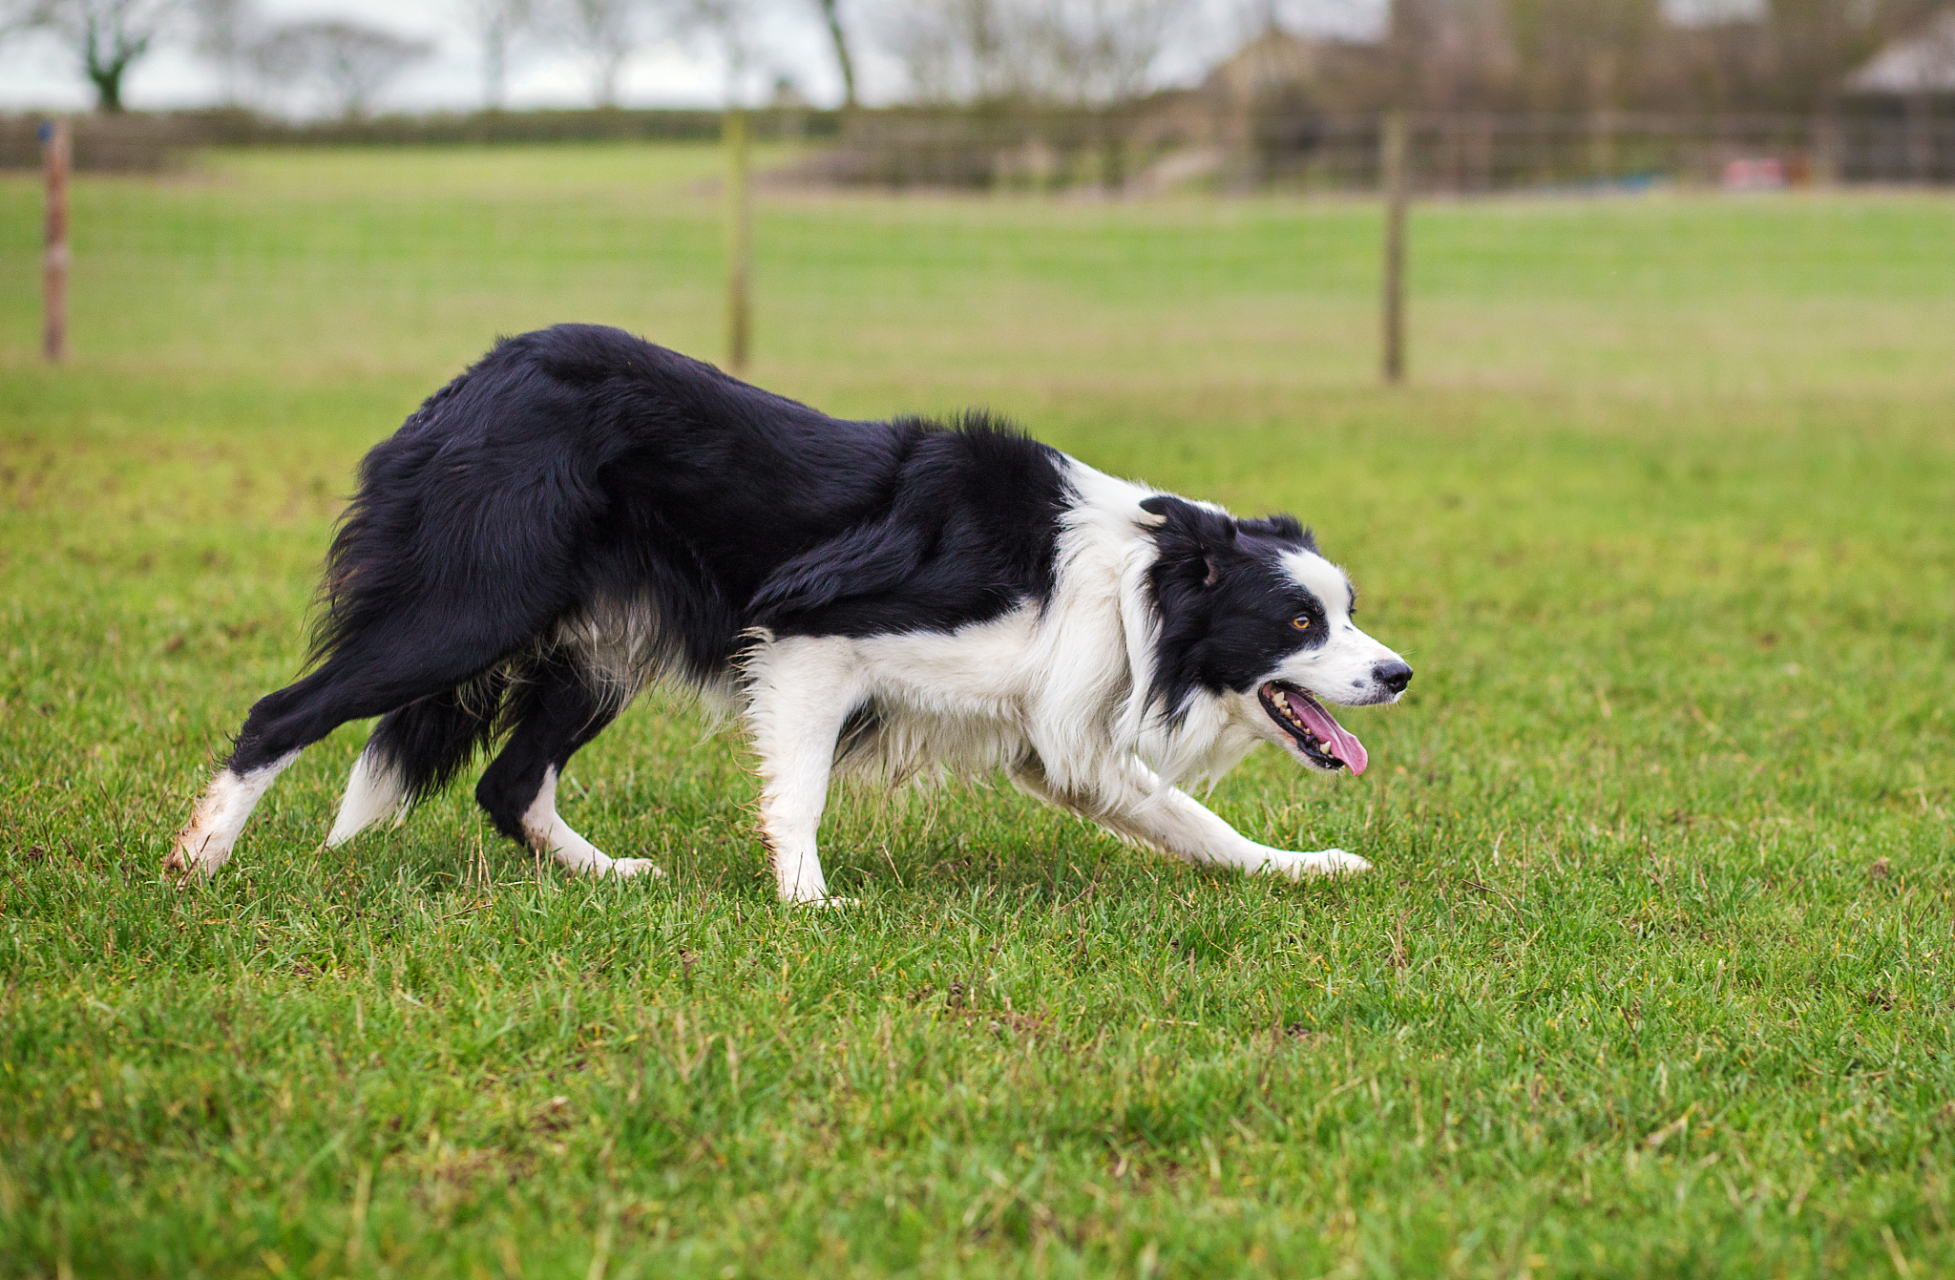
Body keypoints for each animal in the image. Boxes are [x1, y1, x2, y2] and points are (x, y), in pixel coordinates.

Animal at [168, 326, 1415, 906]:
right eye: (1295, 622)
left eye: (1346, 611)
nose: (1400, 673)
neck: (1127, 583)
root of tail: (469, 383)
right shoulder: (816, 635)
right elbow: (799, 789)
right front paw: (809, 900)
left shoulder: (1049, 731)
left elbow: (1188, 819)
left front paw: (1300, 866)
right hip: (469, 606)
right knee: (280, 711)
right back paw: (196, 860)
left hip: (597, 648)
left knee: (508, 780)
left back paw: (606, 873)